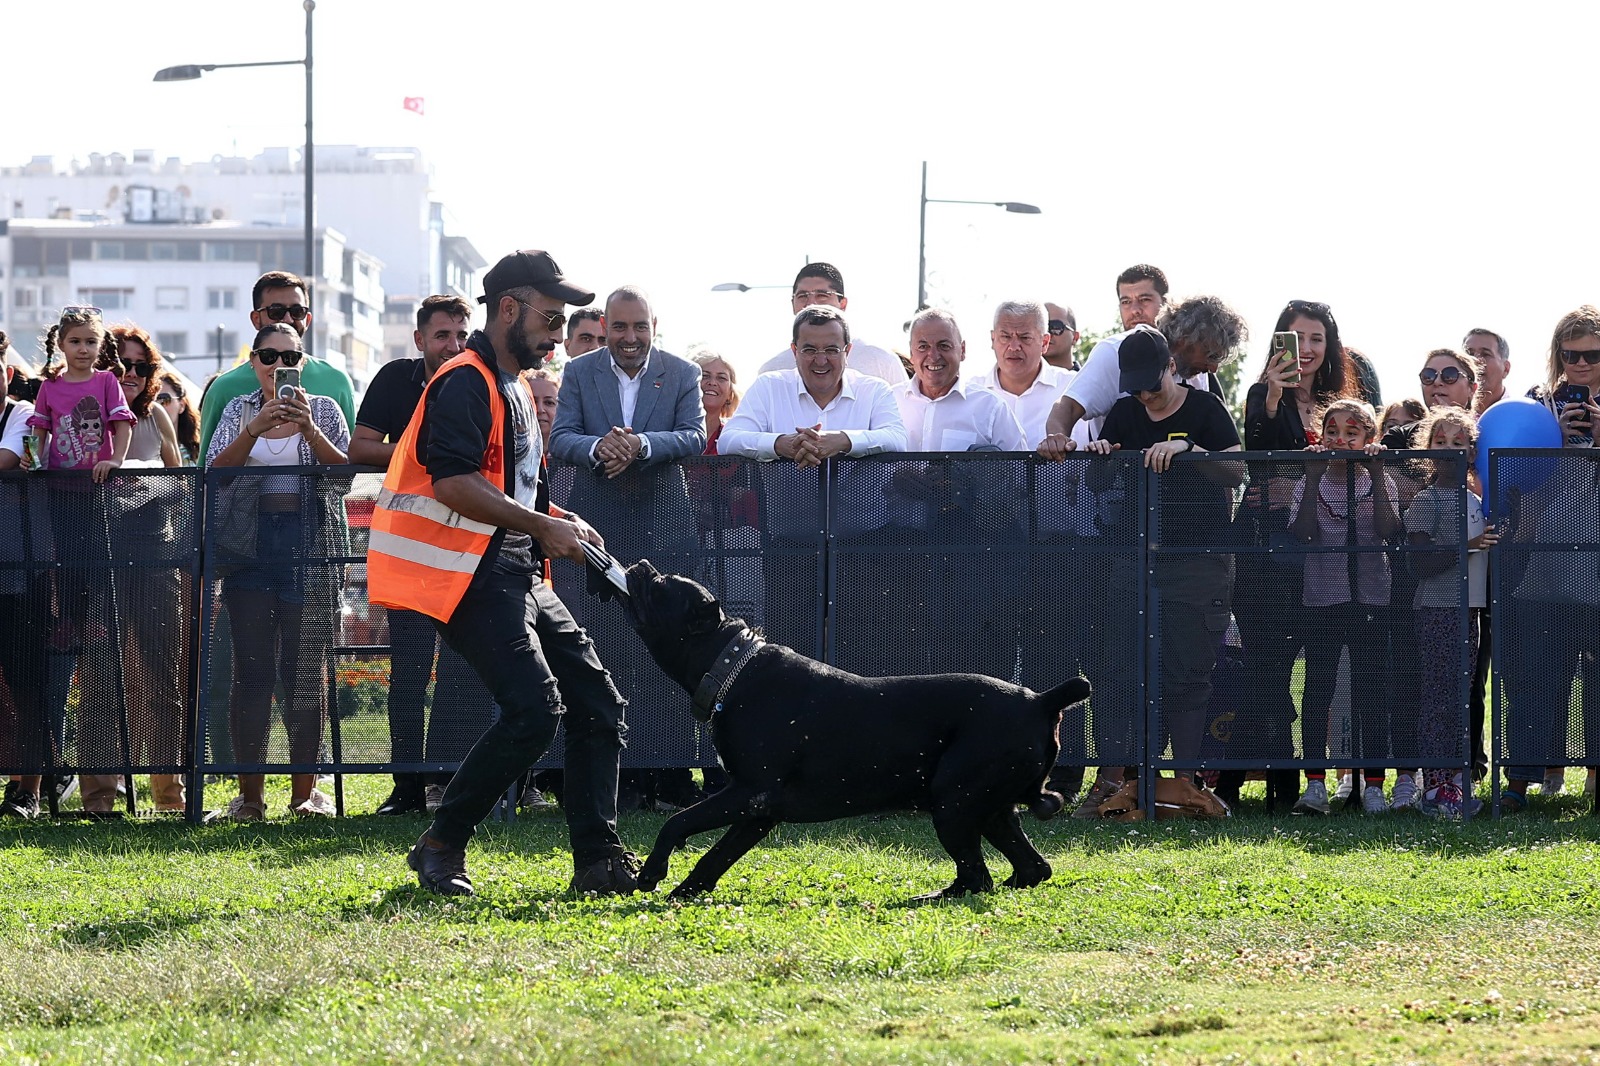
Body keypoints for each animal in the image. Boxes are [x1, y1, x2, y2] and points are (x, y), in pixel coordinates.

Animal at [608, 557, 1088, 896]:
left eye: (663, 586)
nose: (644, 565)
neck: (730, 668)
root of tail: (1041, 701)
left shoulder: (748, 793)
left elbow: (678, 823)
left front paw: (652, 873)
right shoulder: (757, 810)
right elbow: (717, 857)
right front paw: (686, 892)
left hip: (953, 802)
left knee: (976, 877)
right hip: (989, 809)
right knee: (1029, 867)